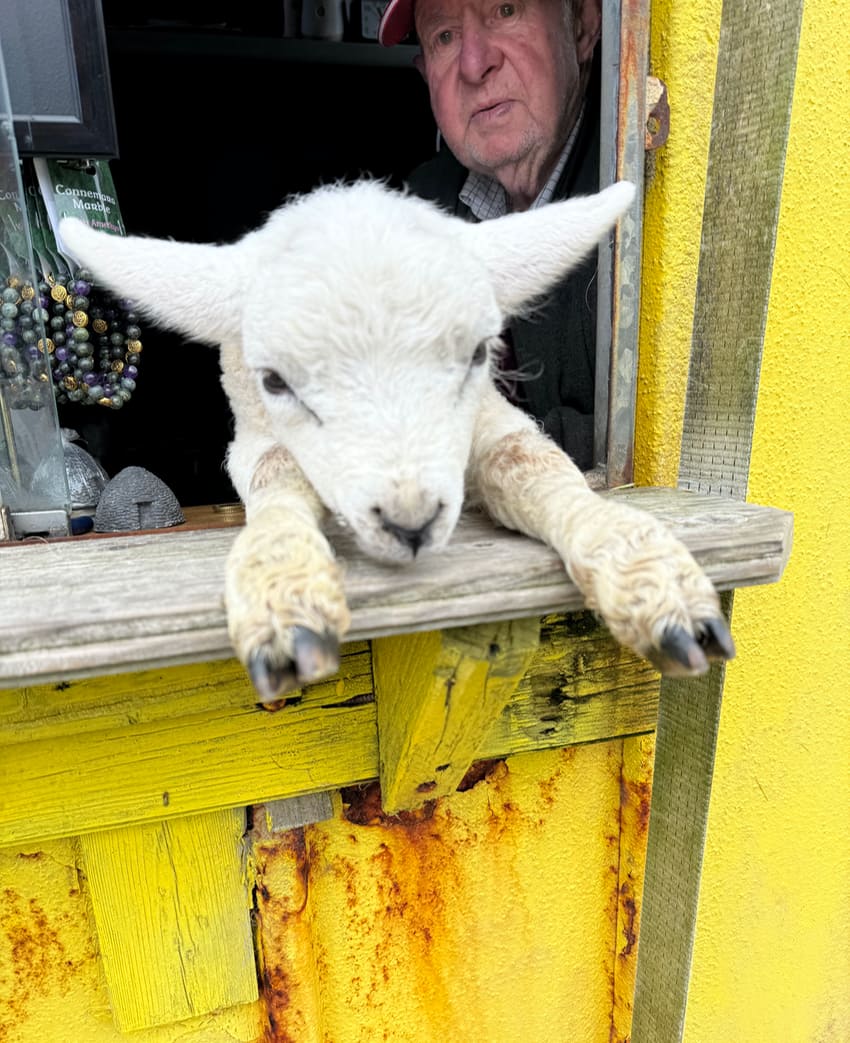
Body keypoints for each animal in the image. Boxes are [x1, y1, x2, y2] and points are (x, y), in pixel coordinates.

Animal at [59, 179, 734, 703]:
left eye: (480, 352)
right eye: (274, 380)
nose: (411, 522)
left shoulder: (488, 414)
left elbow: (526, 458)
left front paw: (650, 580)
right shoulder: (253, 431)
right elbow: (274, 470)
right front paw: (285, 592)